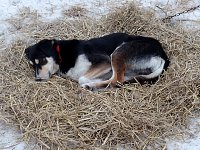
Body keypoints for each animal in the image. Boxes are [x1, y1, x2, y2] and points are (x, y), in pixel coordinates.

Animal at [24, 32, 170, 90]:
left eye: (41, 60)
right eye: (32, 65)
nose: (37, 79)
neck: (61, 55)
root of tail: (162, 54)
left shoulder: (104, 61)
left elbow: (81, 78)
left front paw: (88, 82)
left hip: (117, 53)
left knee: (116, 80)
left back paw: (91, 85)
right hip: (130, 71)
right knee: (118, 81)